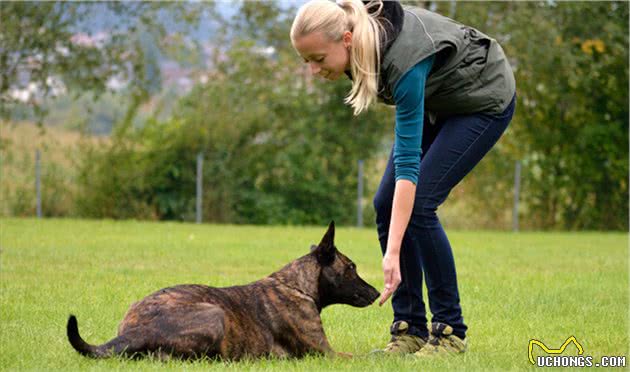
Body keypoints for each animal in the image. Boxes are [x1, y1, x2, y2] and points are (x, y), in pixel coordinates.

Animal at [66, 222, 380, 358]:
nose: (378, 293)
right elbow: (364, 358)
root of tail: (139, 329)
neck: (297, 285)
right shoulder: (325, 353)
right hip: (215, 314)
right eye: (351, 267)